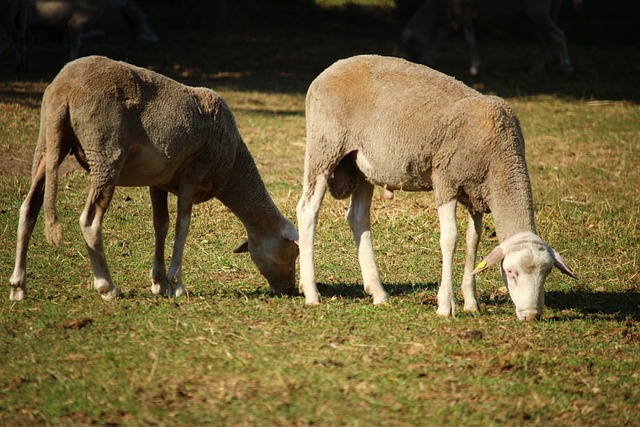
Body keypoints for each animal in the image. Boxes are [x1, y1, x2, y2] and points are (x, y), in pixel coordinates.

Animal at [10, 56, 300, 300]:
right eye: (294, 252)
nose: (290, 290)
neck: (233, 169)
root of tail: (64, 89)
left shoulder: (158, 180)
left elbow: (161, 224)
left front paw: (158, 282)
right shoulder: (195, 173)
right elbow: (183, 225)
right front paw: (177, 284)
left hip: (48, 144)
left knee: (29, 208)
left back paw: (18, 287)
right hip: (105, 152)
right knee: (90, 221)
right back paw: (107, 287)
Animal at [298, 54, 576, 320]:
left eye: (546, 273)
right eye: (510, 271)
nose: (531, 316)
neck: (500, 155)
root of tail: (327, 72)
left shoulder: (476, 193)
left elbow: (473, 239)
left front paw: (471, 302)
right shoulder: (446, 181)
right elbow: (450, 238)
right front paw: (445, 306)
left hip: (362, 164)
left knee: (358, 217)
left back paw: (378, 292)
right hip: (325, 147)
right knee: (307, 210)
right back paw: (311, 292)